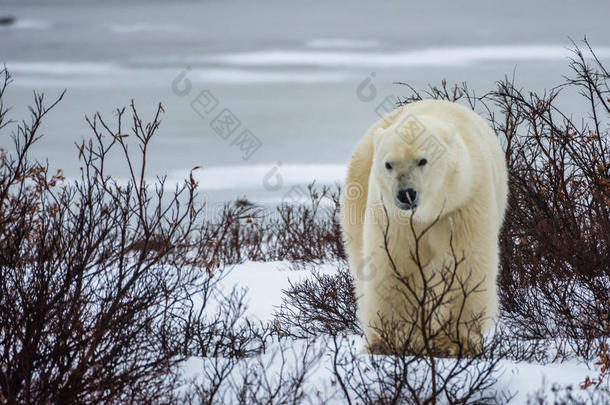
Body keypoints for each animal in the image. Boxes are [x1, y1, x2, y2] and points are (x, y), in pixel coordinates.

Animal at [340, 98, 506, 354]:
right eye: (388, 164)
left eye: (422, 160)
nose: (406, 194)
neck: (427, 213)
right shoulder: (392, 216)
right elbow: (394, 262)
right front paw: (393, 341)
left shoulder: (464, 202)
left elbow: (464, 263)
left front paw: (453, 342)